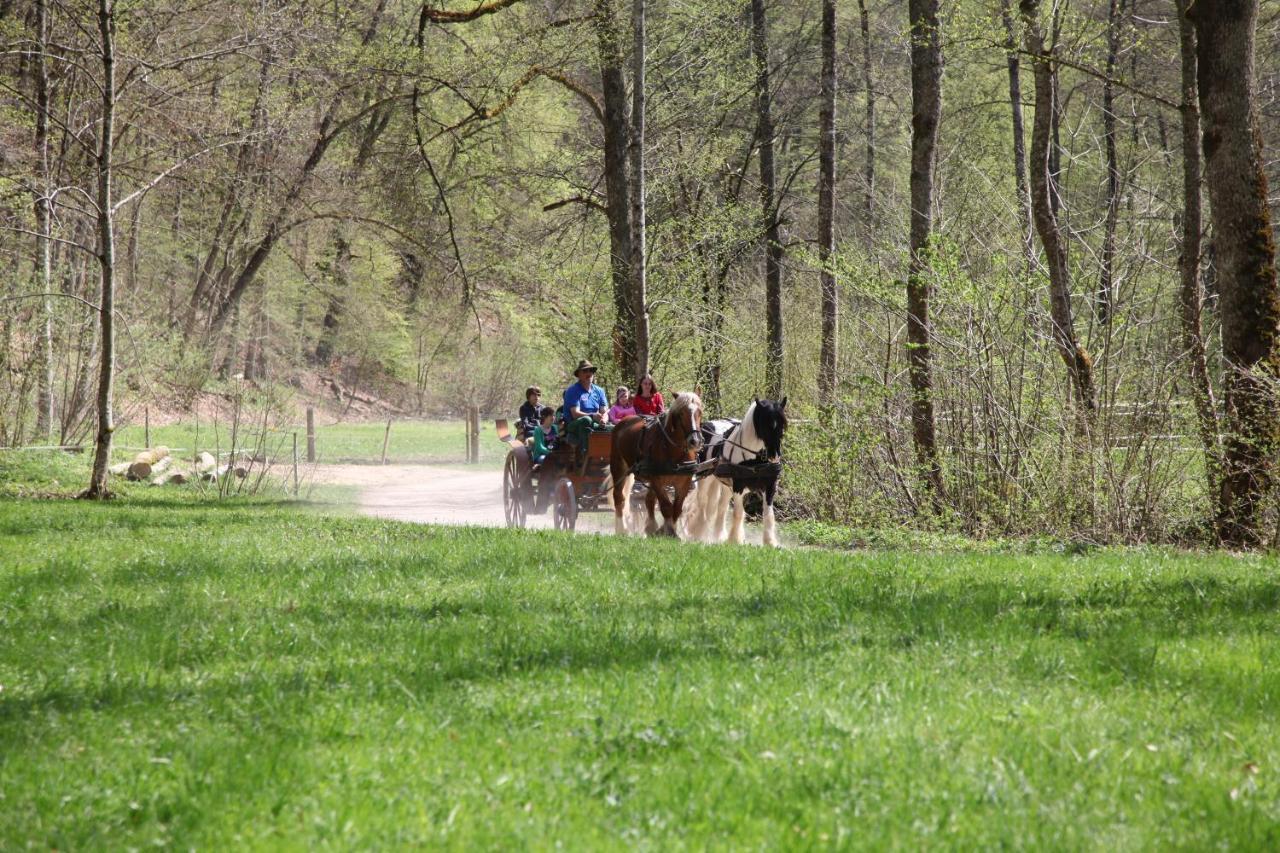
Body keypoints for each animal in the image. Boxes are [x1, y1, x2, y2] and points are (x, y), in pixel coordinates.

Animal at [606, 389, 701, 532]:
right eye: (681, 413)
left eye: (700, 411)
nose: (694, 441)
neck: (673, 450)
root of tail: (624, 421)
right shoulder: (657, 480)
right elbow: (666, 507)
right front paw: (669, 531)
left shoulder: (684, 481)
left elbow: (677, 509)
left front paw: (667, 529)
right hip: (619, 467)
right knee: (619, 498)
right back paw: (621, 529)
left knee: (649, 500)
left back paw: (650, 527)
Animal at [686, 397, 783, 545]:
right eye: (764, 424)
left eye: (782, 426)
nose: (774, 456)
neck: (755, 458)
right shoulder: (738, 485)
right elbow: (738, 512)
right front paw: (735, 540)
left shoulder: (770, 485)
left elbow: (768, 515)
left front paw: (770, 542)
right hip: (705, 477)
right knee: (702, 502)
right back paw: (698, 532)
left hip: (725, 484)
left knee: (721, 506)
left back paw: (719, 535)